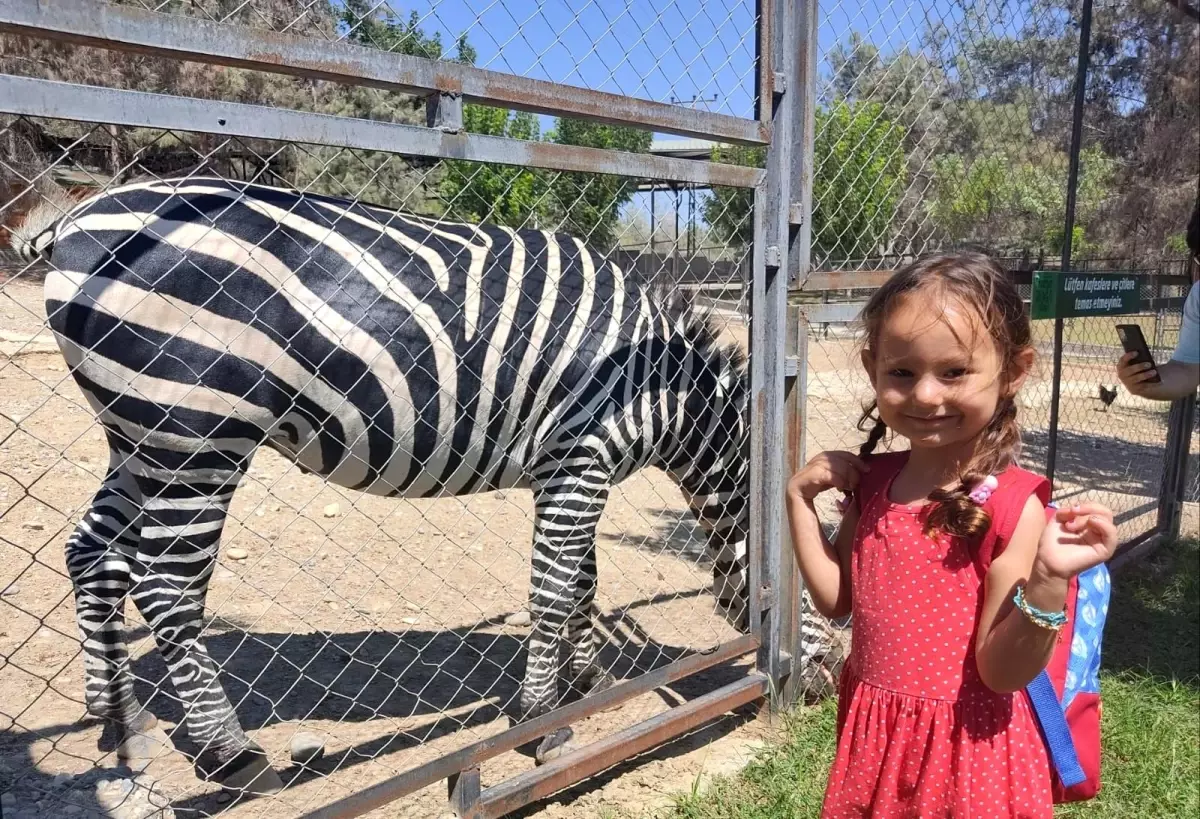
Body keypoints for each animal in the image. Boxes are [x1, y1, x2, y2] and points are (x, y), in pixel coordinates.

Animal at [14, 176, 748, 792]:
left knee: (91, 553)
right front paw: (544, 721)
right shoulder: (582, 457)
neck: (664, 385)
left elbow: (582, 583)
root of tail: (76, 218)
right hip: (196, 432)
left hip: (138, 437)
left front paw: (584, 676)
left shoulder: (567, 468)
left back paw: (115, 710)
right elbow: (553, 592)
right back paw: (232, 755)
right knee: (167, 590)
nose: (748, 631)